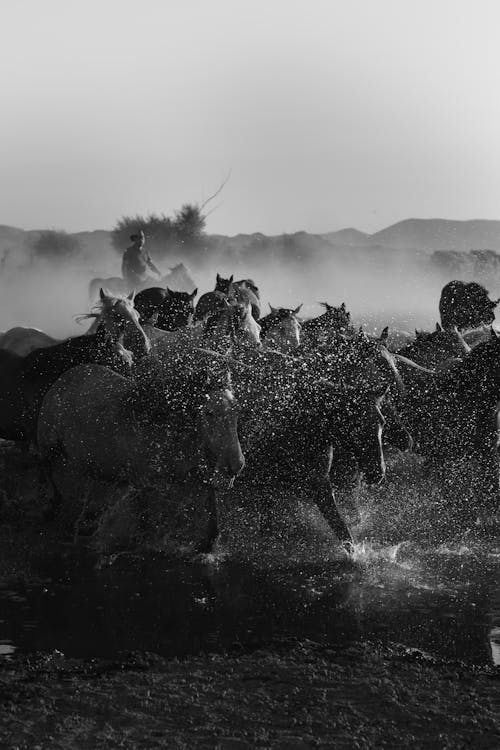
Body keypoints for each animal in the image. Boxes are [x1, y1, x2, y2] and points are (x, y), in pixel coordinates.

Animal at [38, 358, 245, 552]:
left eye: (236, 410)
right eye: (209, 412)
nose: (236, 464)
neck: (160, 428)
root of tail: (67, 375)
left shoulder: (188, 473)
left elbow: (210, 502)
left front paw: (208, 543)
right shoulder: (145, 482)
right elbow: (144, 517)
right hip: (49, 444)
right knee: (45, 467)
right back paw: (52, 506)